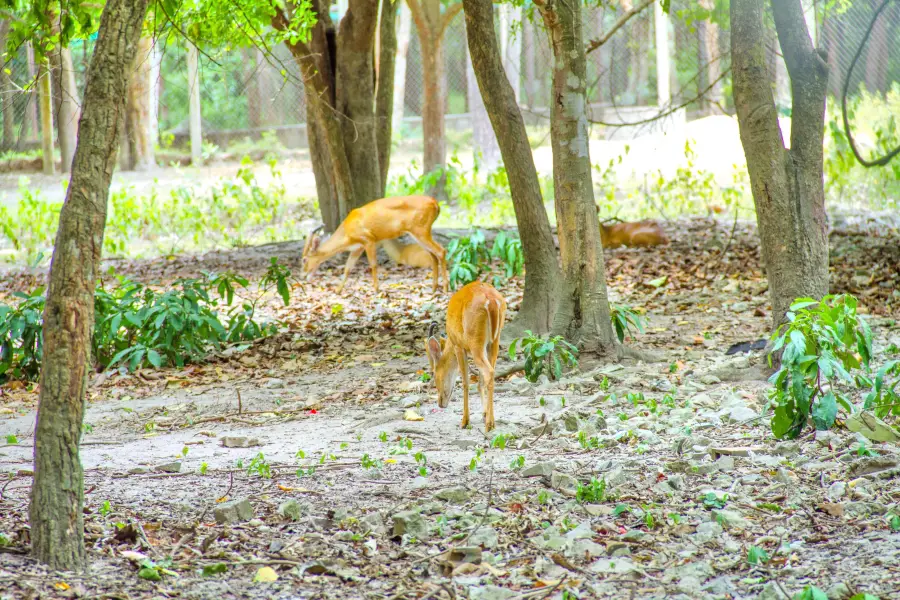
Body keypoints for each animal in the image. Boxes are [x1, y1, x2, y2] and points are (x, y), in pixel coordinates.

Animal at [302, 196, 450, 292]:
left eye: (304, 259)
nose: (303, 275)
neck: (346, 233)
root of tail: (435, 203)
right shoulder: (357, 248)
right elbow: (348, 268)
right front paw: (338, 290)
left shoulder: (368, 239)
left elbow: (373, 264)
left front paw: (376, 289)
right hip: (420, 231)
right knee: (433, 255)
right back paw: (434, 288)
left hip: (420, 229)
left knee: (441, 250)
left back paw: (445, 288)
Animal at [424, 282, 506, 432]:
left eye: (434, 373)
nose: (440, 403)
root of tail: (491, 301)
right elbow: (479, 381)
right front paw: (484, 413)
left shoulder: (459, 346)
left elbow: (465, 382)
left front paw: (465, 421)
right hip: (494, 340)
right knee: (490, 372)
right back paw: (490, 420)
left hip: (475, 342)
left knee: (489, 372)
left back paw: (489, 424)